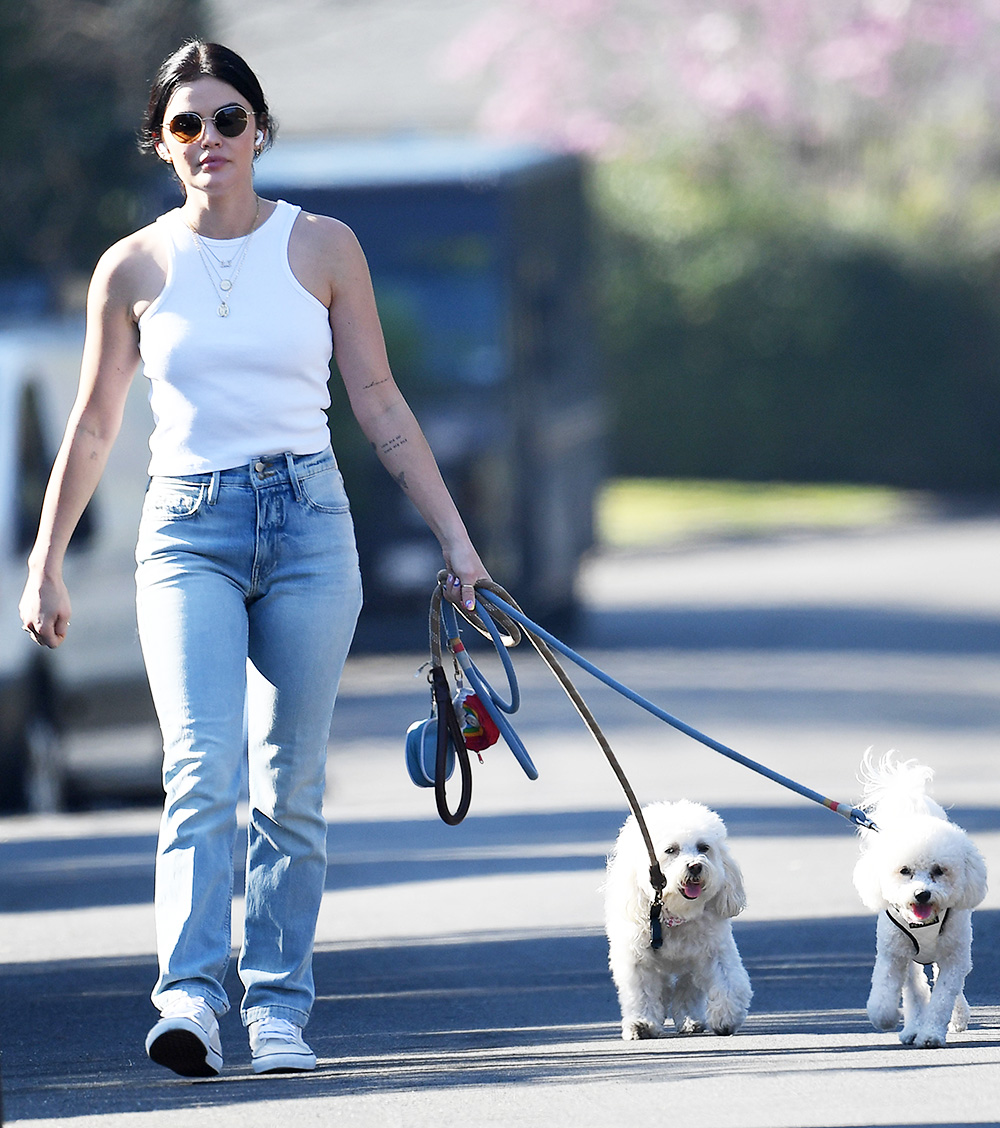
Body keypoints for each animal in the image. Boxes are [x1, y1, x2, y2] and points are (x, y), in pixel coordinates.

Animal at [604, 803, 748, 1037]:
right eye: (671, 850)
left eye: (704, 847)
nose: (695, 866)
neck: (675, 914)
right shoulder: (637, 959)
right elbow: (642, 993)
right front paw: (642, 1022)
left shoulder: (715, 950)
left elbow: (728, 981)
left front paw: (725, 1017)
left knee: (687, 987)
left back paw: (690, 1019)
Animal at [852, 748, 992, 1046]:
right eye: (905, 870)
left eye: (939, 870)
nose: (922, 894)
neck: (924, 923)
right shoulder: (894, 953)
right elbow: (896, 990)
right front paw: (888, 1018)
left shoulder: (953, 957)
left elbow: (942, 998)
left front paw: (931, 1034)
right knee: (916, 985)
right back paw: (912, 1026)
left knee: (948, 985)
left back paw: (957, 1017)